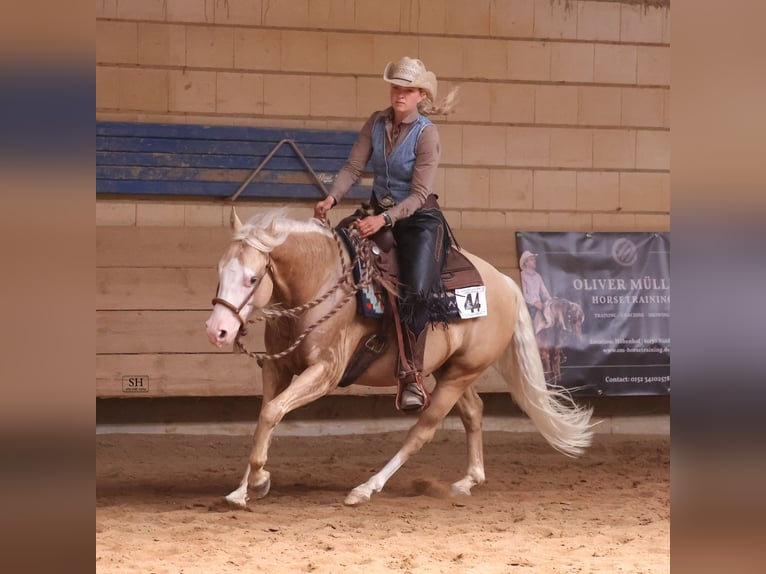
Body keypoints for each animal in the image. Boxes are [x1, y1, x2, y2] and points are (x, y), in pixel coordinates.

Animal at [205, 208, 594, 508]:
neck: (320, 282)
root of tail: (505, 283)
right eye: (220, 272)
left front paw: (258, 481)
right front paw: (243, 489)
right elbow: (265, 417)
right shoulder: (277, 366)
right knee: (473, 411)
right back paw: (468, 480)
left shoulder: (325, 372)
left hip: (460, 373)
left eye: (252, 279)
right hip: (450, 370)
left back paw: (366, 488)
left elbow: (272, 412)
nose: (217, 330)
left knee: (423, 430)